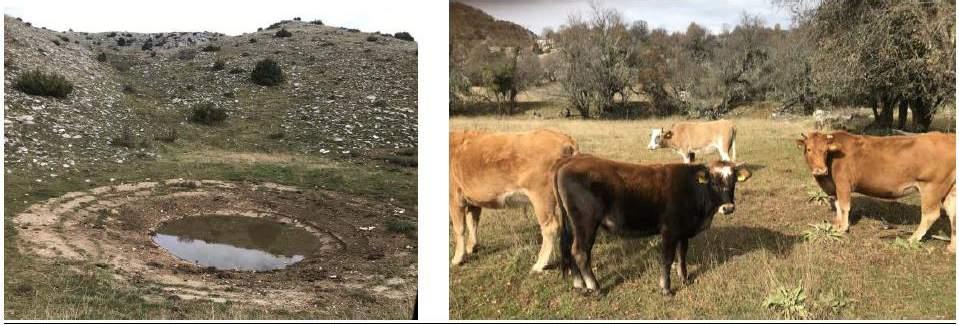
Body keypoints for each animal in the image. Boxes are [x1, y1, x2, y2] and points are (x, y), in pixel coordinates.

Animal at [450, 128, 576, 270]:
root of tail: (565, 138)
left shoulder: (454, 198)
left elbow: (459, 228)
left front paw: (457, 258)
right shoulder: (474, 201)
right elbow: (473, 223)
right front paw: (472, 247)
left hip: (542, 198)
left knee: (550, 228)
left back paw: (539, 265)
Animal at [556, 156, 752, 294]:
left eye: (733, 181)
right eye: (713, 182)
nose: (728, 207)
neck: (692, 188)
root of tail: (571, 160)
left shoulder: (683, 232)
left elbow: (682, 256)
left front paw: (685, 278)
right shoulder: (669, 231)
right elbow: (667, 259)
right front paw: (666, 288)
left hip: (572, 225)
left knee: (570, 249)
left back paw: (579, 285)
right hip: (586, 223)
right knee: (580, 252)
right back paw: (595, 287)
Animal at [800, 130, 956, 252]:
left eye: (825, 151)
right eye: (808, 149)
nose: (820, 170)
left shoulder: (843, 183)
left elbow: (844, 206)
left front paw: (842, 228)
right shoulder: (835, 187)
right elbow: (838, 205)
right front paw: (836, 224)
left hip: (932, 187)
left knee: (931, 214)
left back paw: (912, 239)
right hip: (950, 189)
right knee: (953, 213)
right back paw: (952, 247)